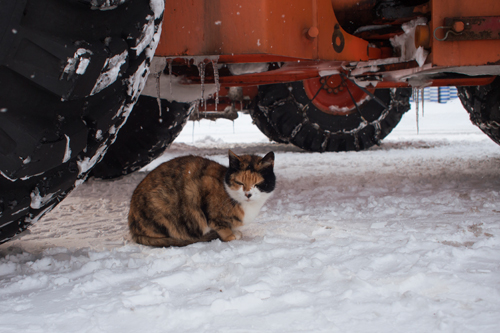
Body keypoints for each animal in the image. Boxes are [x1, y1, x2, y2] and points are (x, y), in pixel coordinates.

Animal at [127, 150, 276, 246]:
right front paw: (231, 236)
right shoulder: (206, 185)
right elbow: (221, 226)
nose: (248, 194)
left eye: (257, 184)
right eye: (239, 183)